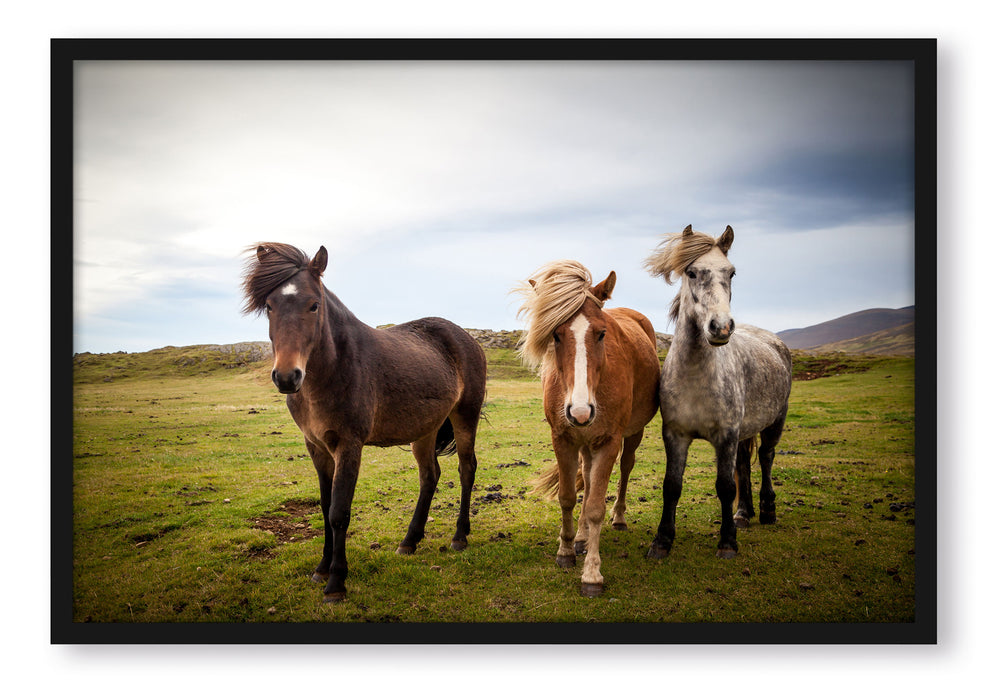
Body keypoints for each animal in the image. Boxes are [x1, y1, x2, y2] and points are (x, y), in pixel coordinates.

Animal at [241, 242, 488, 600]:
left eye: (313, 305)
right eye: (269, 306)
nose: (287, 377)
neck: (333, 371)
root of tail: (464, 337)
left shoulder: (349, 445)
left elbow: (339, 512)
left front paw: (335, 582)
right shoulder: (316, 447)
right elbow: (324, 505)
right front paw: (321, 569)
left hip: (464, 416)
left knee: (466, 469)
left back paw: (459, 536)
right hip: (425, 430)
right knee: (430, 476)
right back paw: (409, 541)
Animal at [520, 260, 660, 600]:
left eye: (601, 333)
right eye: (555, 334)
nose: (580, 411)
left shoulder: (609, 441)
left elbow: (596, 506)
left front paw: (592, 575)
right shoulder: (563, 439)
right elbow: (569, 497)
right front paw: (567, 550)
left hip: (630, 435)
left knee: (625, 468)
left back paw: (618, 518)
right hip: (584, 441)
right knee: (586, 473)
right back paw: (582, 537)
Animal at [648, 227, 796, 560]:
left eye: (732, 272)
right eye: (691, 272)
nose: (721, 327)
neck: (696, 377)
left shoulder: (726, 435)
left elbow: (725, 486)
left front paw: (727, 542)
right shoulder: (675, 434)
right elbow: (671, 485)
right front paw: (662, 541)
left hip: (774, 423)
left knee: (765, 458)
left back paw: (767, 511)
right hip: (744, 432)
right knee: (744, 464)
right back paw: (743, 514)